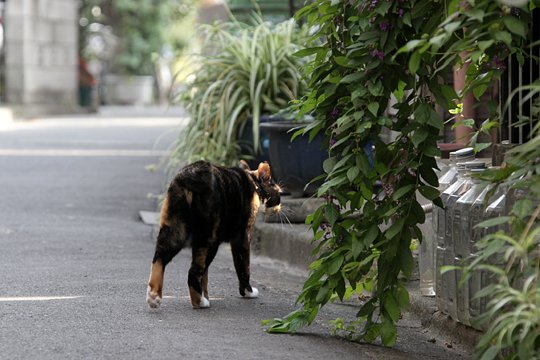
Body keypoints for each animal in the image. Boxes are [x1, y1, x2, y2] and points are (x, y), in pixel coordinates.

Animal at [148, 160, 282, 310]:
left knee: (160, 259)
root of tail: (192, 174)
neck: (254, 184)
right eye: (279, 192)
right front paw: (248, 291)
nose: (280, 206)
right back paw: (199, 302)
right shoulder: (242, 238)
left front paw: (206, 294)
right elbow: (243, 266)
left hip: (175, 230)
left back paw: (154, 297)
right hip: (210, 239)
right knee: (193, 271)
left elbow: (205, 276)